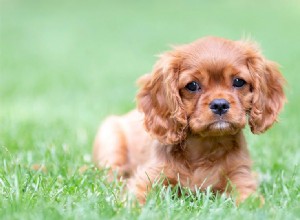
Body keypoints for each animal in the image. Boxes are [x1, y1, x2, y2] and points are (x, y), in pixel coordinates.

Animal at [94, 37, 286, 204]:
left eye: (239, 82)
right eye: (192, 85)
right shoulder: (147, 179)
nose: (220, 105)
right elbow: (134, 202)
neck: (205, 146)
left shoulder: (241, 180)